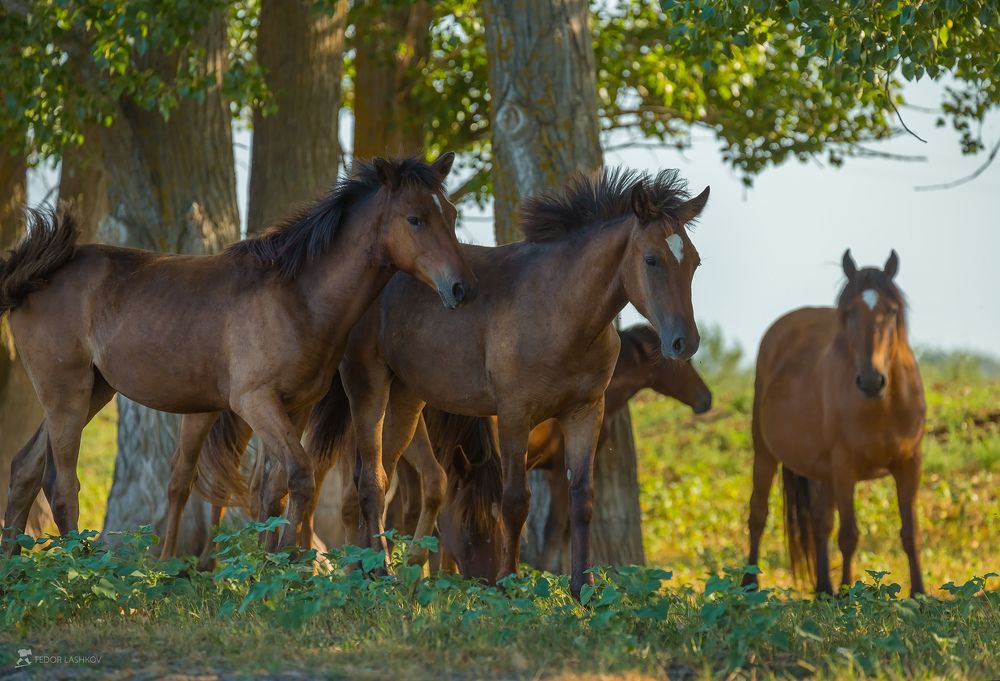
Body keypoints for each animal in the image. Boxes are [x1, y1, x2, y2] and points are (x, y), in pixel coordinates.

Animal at [0, 153, 476, 555]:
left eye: (451, 215)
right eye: (414, 219)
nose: (460, 288)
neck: (296, 296)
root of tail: (33, 278)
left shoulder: (296, 407)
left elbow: (276, 488)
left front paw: (272, 564)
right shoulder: (254, 402)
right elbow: (300, 477)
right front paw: (286, 563)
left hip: (92, 392)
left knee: (24, 470)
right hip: (67, 393)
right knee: (61, 485)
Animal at [742, 250, 926, 596]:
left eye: (891, 310)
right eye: (849, 311)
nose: (871, 381)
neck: (882, 406)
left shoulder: (909, 463)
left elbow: (910, 532)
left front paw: (919, 593)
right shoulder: (844, 466)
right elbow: (849, 535)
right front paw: (849, 593)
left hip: (821, 470)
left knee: (819, 523)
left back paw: (824, 588)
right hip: (766, 453)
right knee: (758, 514)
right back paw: (749, 585)